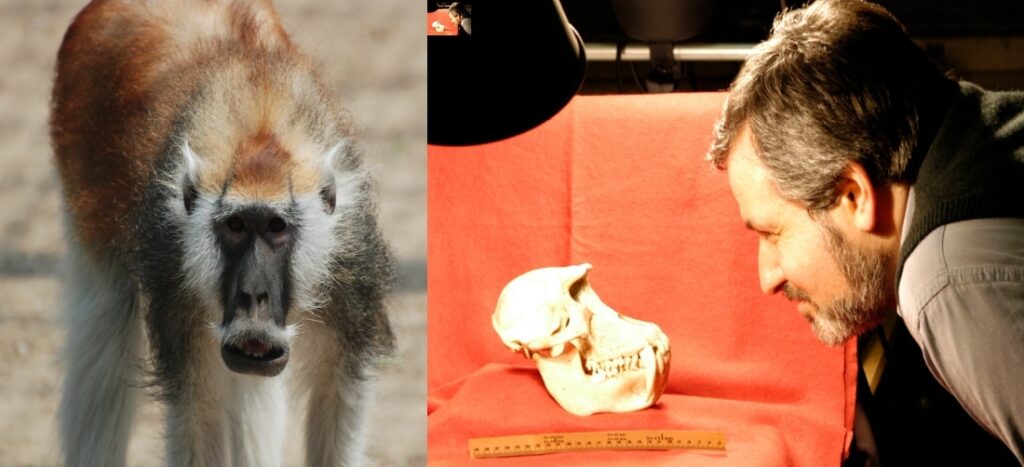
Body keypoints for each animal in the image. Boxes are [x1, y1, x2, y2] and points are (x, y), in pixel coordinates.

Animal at [49, 1, 395, 465]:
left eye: (275, 228)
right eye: (235, 227)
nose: (253, 295)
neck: (257, 121)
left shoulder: (351, 259)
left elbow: (336, 397)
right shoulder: (173, 272)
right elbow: (198, 410)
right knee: (104, 319)